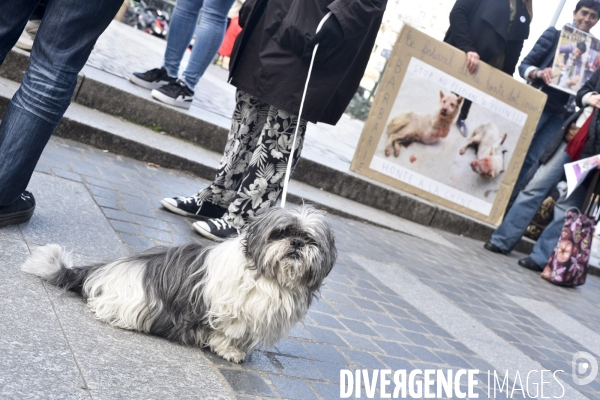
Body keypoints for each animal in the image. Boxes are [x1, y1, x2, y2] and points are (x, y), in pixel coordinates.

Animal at [21, 205, 336, 364]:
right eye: (280, 233)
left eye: (310, 239)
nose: (296, 243)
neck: (269, 275)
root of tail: (103, 271)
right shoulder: (231, 311)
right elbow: (228, 334)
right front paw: (231, 352)